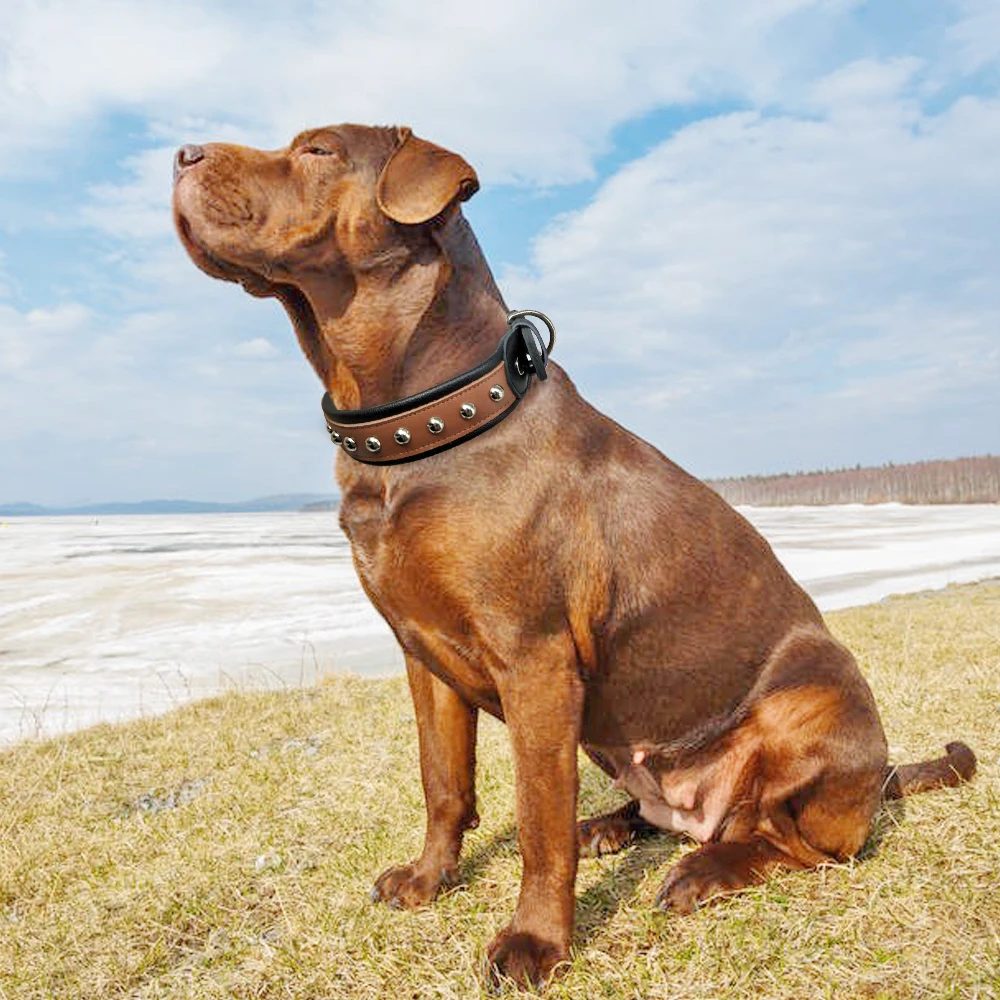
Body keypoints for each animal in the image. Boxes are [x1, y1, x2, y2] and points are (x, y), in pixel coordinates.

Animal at [172, 123, 976, 984]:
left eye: (317, 151)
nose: (180, 154)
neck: (419, 431)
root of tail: (881, 773)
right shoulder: (424, 656)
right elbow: (442, 781)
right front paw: (429, 878)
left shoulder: (535, 660)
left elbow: (536, 822)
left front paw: (534, 942)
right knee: (677, 813)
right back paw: (613, 826)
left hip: (809, 706)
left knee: (794, 844)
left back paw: (703, 869)